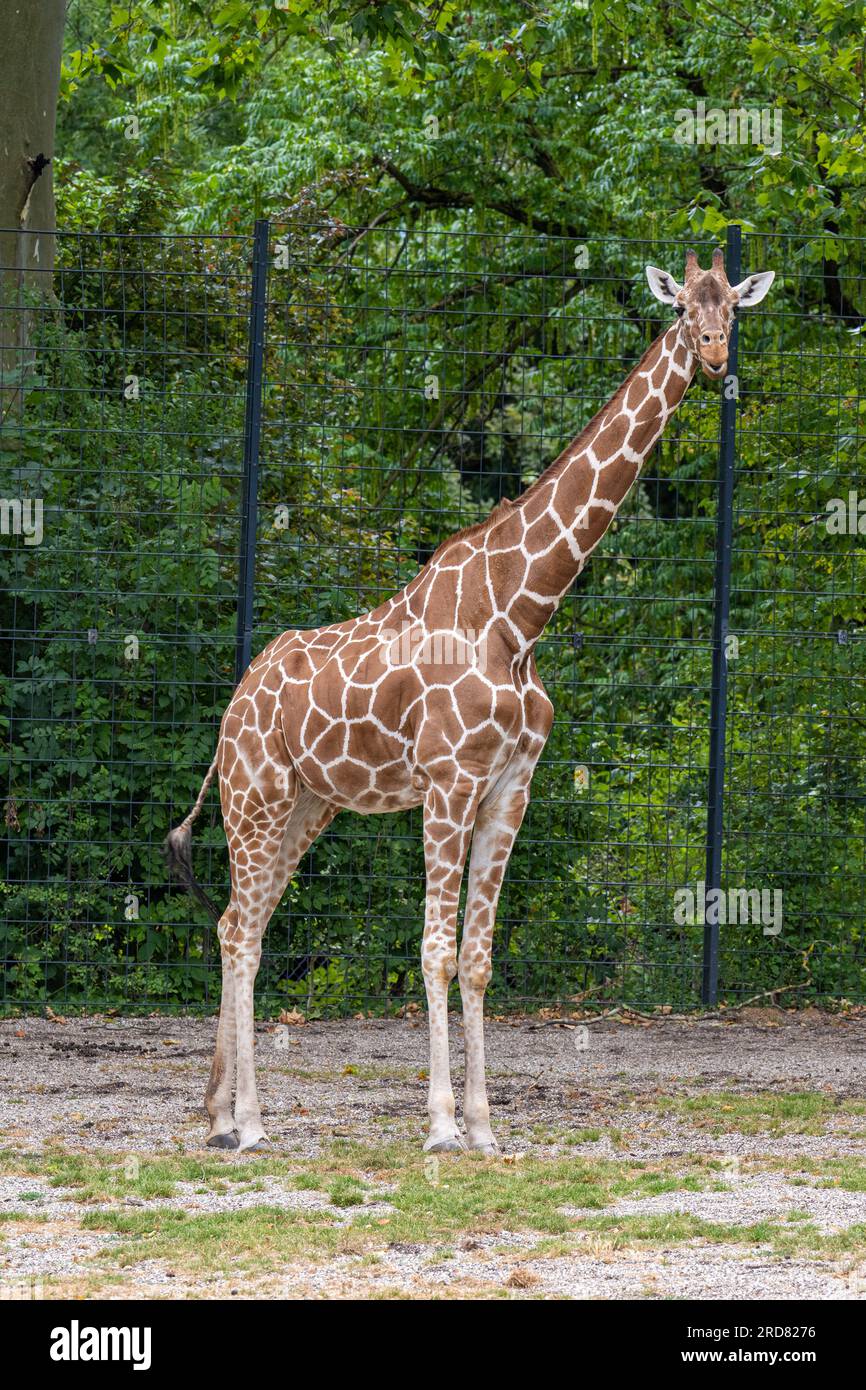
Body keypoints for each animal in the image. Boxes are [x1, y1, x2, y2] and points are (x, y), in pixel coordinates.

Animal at [166, 247, 778, 1150]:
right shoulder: (448, 785)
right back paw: (247, 1124)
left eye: (733, 307)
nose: (711, 354)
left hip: (307, 805)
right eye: (679, 309)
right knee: (241, 932)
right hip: (257, 795)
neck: (519, 616)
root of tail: (231, 709)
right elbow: (437, 951)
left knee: (241, 923)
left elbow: (482, 958)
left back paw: (217, 1114)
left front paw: (487, 1126)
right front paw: (442, 1124)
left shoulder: (509, 789)